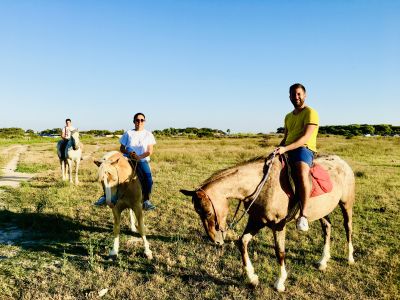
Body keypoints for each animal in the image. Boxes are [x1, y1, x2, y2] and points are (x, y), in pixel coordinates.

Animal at [180, 154, 354, 292]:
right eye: (198, 213)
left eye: (208, 212)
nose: (215, 241)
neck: (260, 185)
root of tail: (341, 161)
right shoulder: (256, 221)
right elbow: (242, 242)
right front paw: (252, 278)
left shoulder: (278, 225)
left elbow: (280, 252)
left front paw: (280, 283)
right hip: (322, 210)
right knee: (327, 227)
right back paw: (323, 261)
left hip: (346, 204)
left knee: (348, 228)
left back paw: (350, 258)